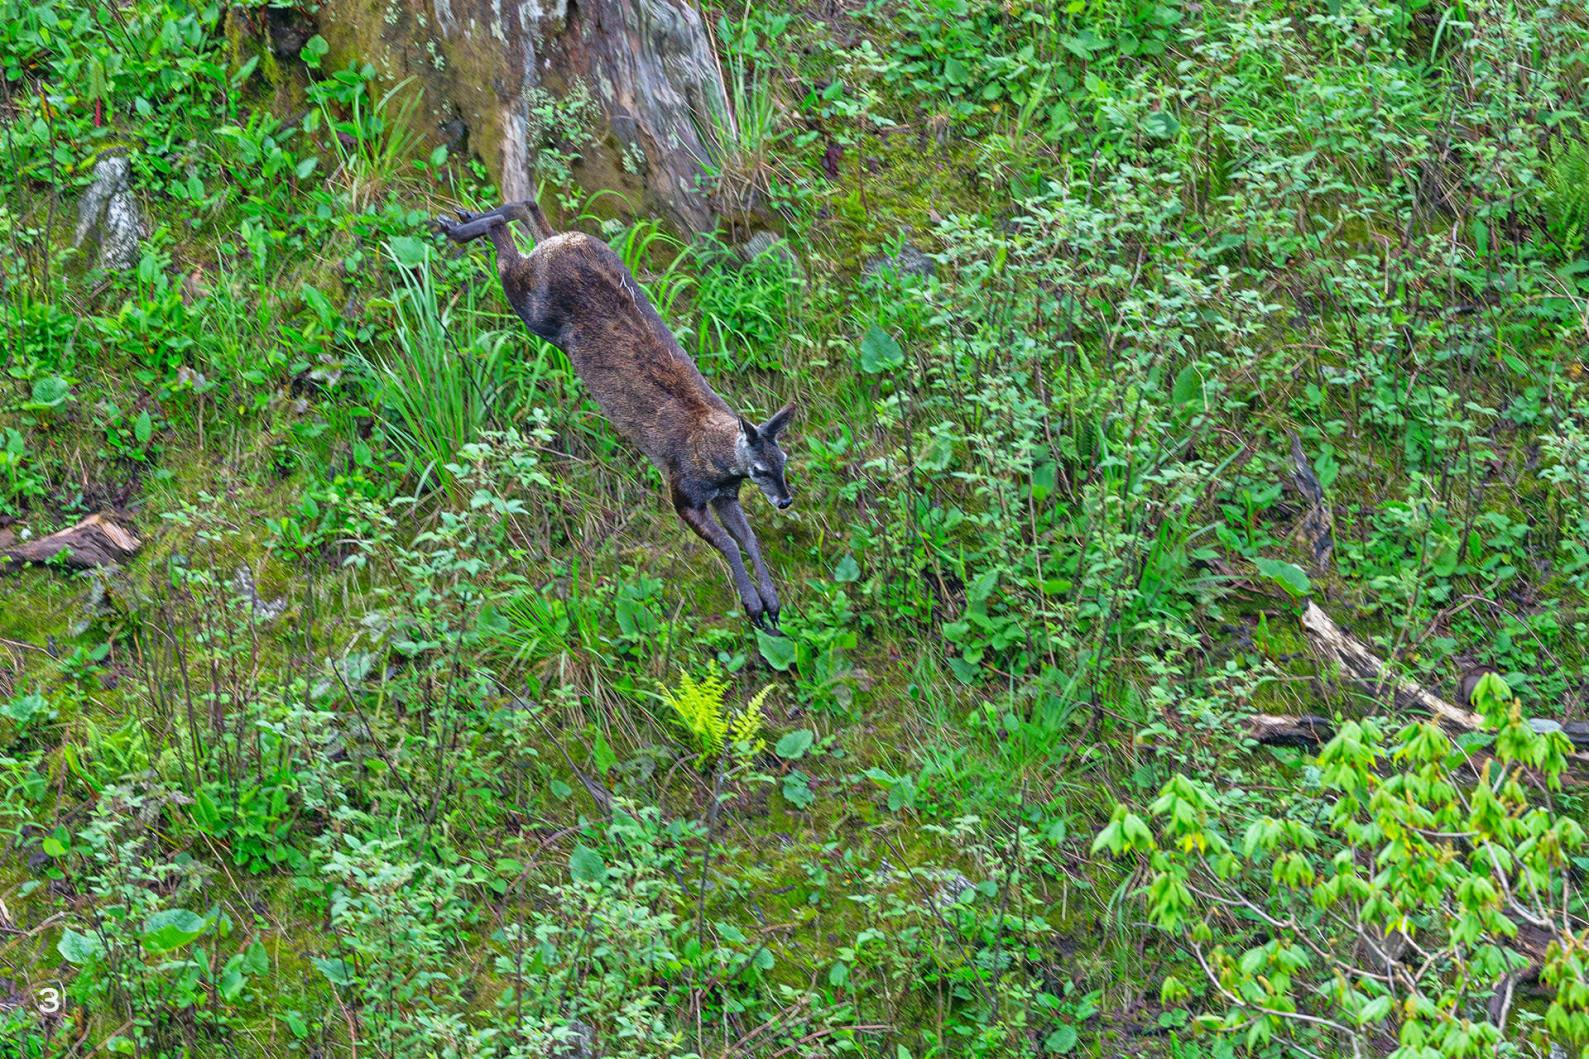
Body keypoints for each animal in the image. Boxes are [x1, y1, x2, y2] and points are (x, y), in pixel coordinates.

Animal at [433, 200, 798, 631]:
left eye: (784, 460)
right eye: (759, 469)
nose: (785, 501)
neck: (716, 461)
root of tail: (565, 241)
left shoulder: (724, 495)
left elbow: (749, 538)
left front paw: (771, 603)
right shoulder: (682, 492)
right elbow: (729, 543)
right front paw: (753, 606)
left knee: (530, 211)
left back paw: (462, 218)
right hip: (535, 309)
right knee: (509, 244)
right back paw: (458, 226)